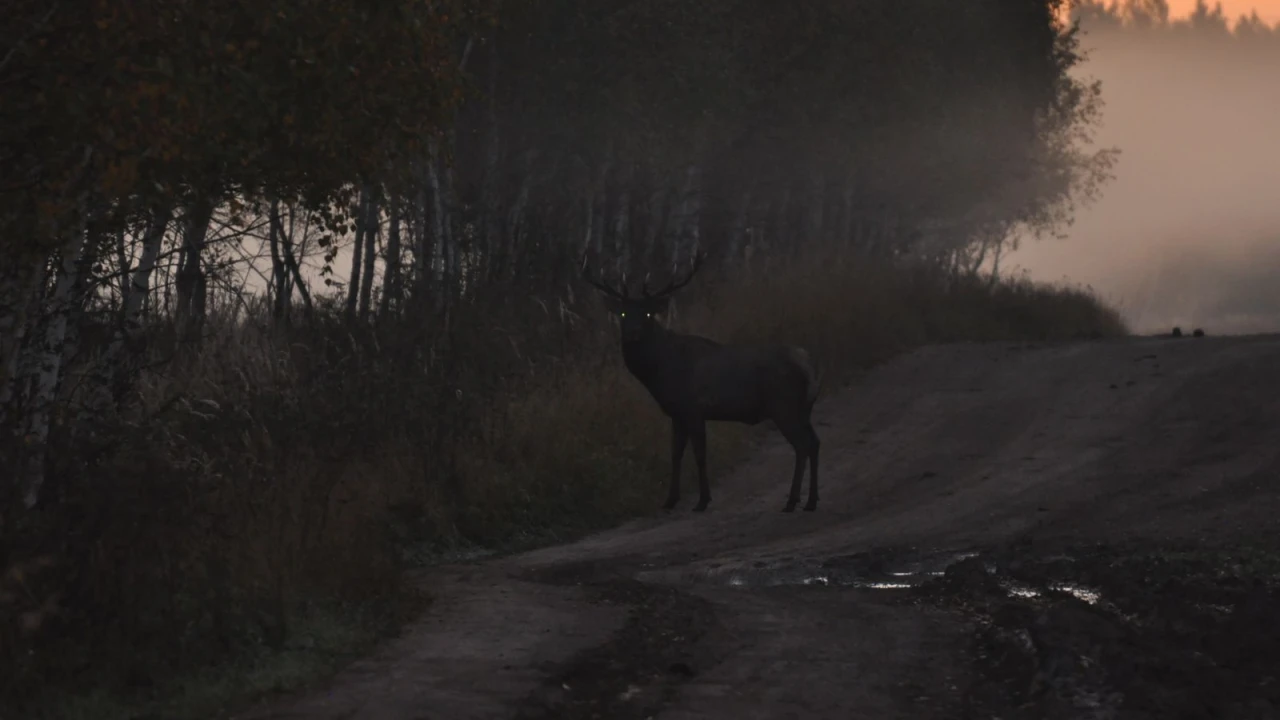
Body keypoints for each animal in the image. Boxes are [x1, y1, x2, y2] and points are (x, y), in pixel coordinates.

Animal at [586, 252, 824, 509]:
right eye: (623, 313)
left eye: (648, 313)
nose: (633, 333)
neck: (660, 371)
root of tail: (808, 364)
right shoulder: (677, 414)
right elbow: (676, 454)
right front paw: (670, 500)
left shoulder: (693, 409)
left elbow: (699, 455)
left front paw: (702, 500)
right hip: (804, 408)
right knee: (815, 442)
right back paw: (811, 500)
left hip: (783, 405)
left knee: (802, 445)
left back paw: (792, 501)